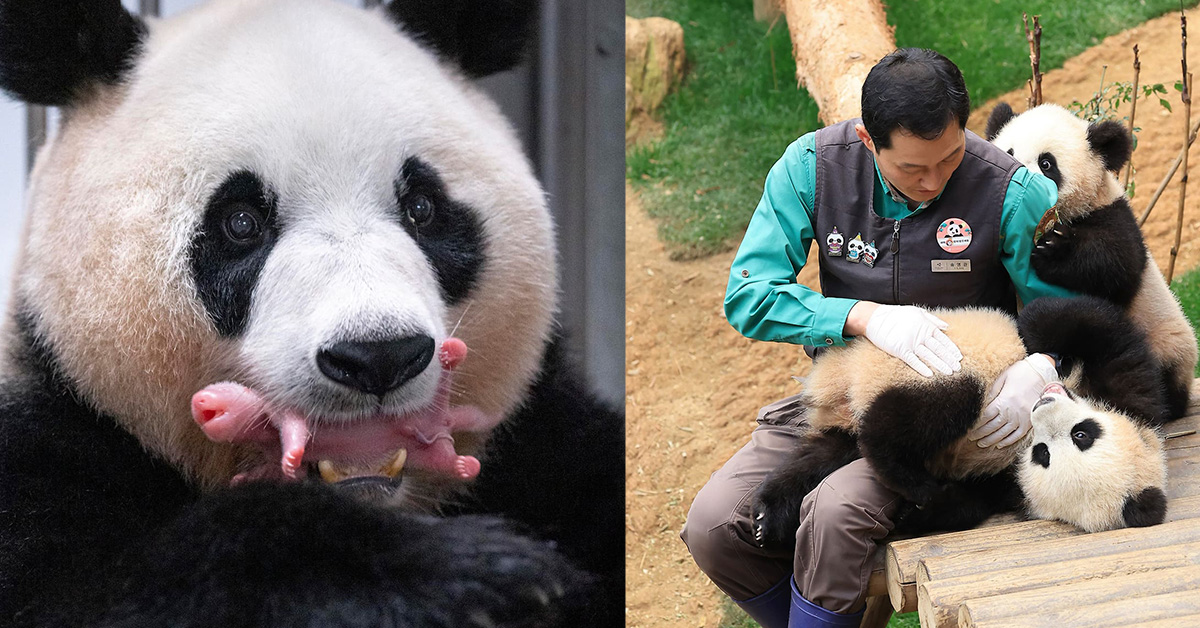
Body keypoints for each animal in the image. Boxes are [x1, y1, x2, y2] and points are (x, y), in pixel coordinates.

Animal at [0, 2, 624, 624]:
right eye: (241, 222)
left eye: (422, 208)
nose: (379, 356)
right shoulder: (49, 443)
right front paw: (482, 576)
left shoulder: (548, 440)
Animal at [988, 104, 1195, 422]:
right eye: (1008, 153)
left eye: (1046, 163)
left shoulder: (1114, 214)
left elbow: (1115, 264)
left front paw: (1053, 249)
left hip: (1166, 335)